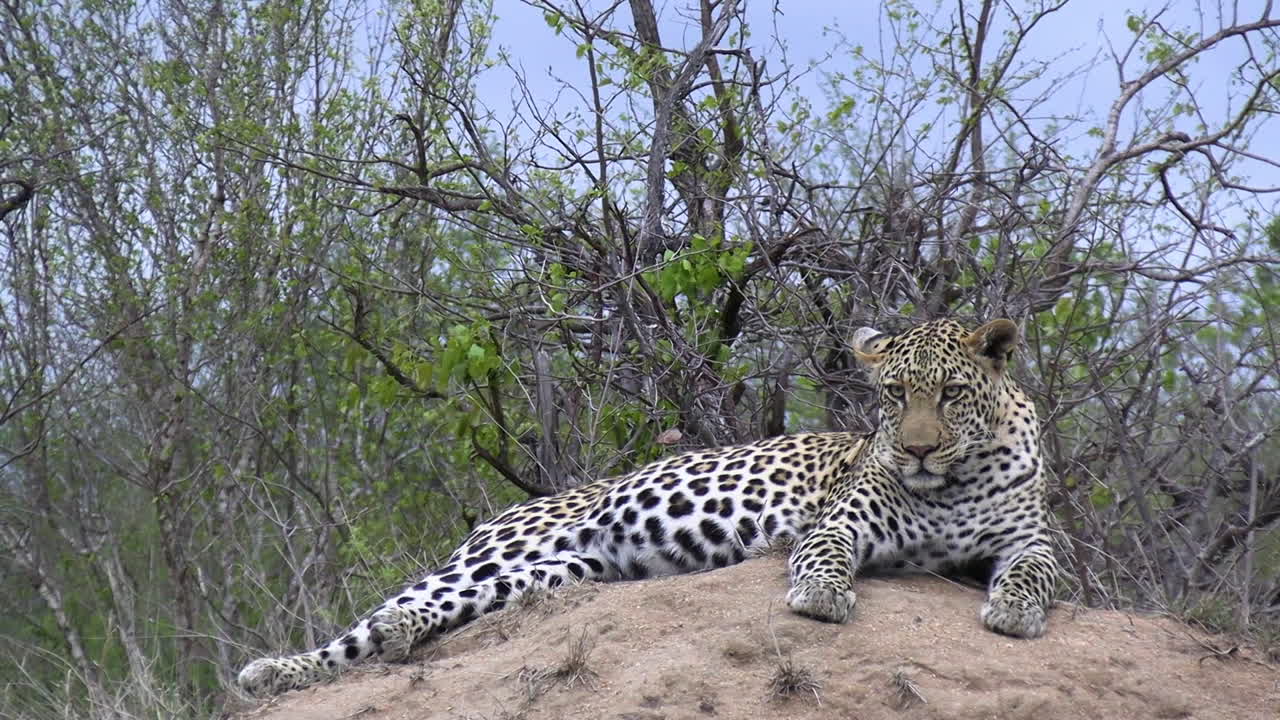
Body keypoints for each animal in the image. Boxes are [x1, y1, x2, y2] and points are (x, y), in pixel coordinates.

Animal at [236, 318, 1057, 697]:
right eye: (893, 394)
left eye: (950, 394)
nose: (916, 450)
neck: (952, 483)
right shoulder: (842, 520)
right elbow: (824, 555)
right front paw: (821, 598)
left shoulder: (1035, 540)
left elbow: (1032, 574)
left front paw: (1014, 615)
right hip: (495, 552)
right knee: (373, 621)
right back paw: (275, 671)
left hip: (553, 576)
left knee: (422, 615)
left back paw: (381, 645)